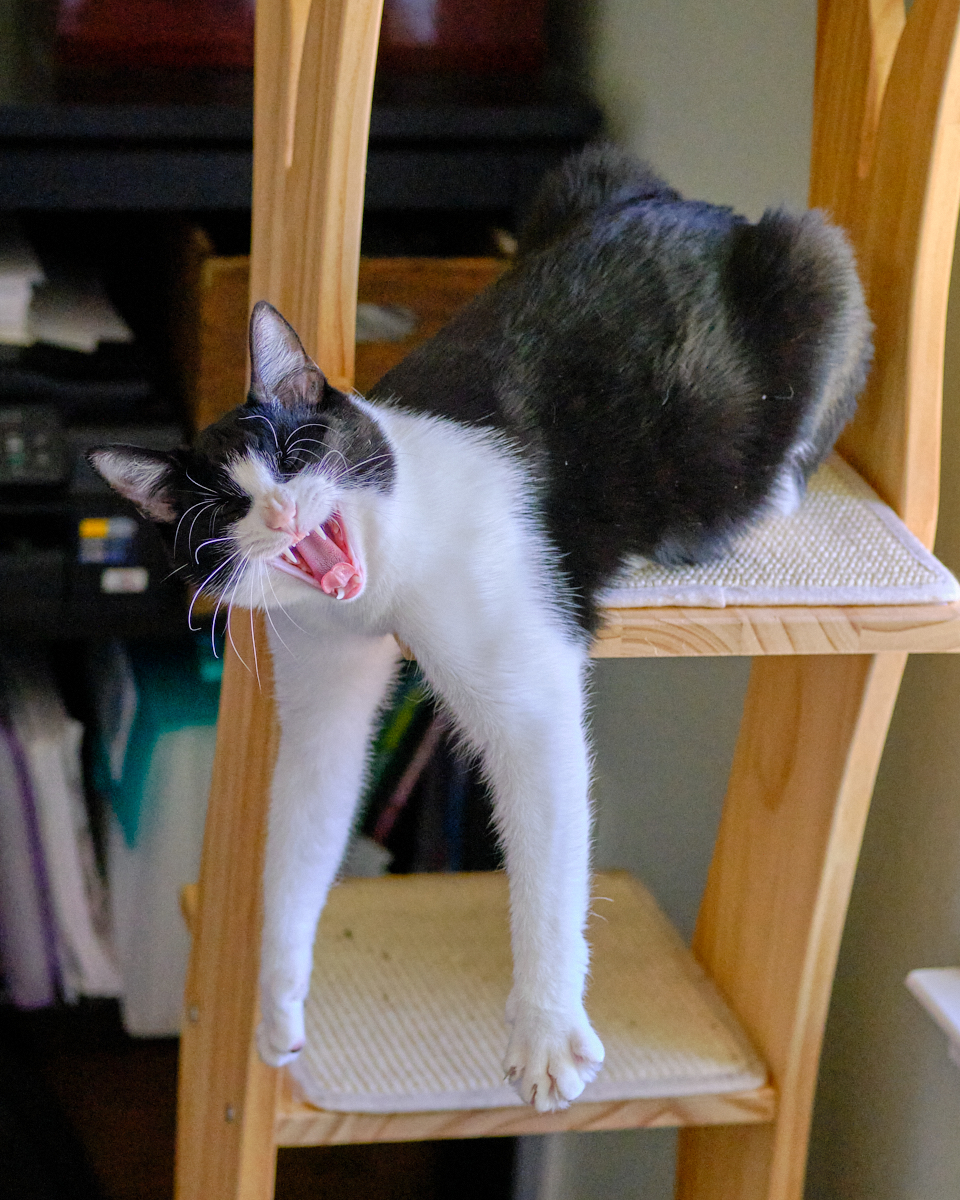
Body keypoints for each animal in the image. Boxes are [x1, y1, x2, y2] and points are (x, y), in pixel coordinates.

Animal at [88, 150, 868, 1113]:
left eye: (296, 452)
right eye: (223, 512)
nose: (278, 509)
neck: (383, 582)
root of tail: (707, 210)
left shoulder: (525, 691)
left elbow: (545, 859)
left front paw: (545, 1031)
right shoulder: (319, 673)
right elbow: (306, 821)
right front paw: (277, 1005)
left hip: (816, 263)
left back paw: (759, 499)